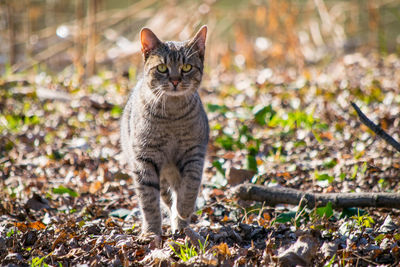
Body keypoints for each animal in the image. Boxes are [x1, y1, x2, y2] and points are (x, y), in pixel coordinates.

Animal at [120, 26, 209, 238]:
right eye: (162, 68)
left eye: (187, 67)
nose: (175, 80)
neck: (172, 117)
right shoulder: (144, 159)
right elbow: (149, 202)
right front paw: (151, 233)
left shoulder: (194, 153)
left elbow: (190, 187)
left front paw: (183, 210)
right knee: (164, 198)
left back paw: (182, 226)